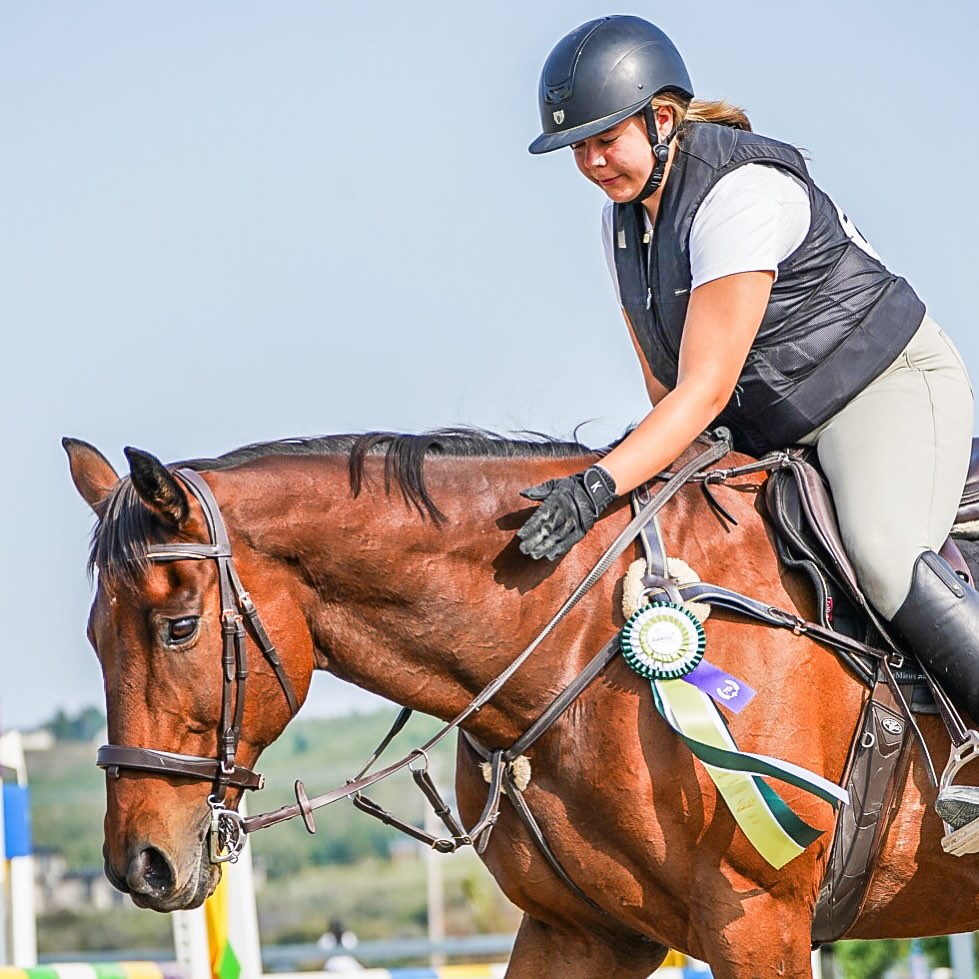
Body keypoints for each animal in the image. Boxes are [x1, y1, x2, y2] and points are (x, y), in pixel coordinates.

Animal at [63, 429, 979, 979]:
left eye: (180, 627)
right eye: (93, 638)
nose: (139, 865)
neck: (582, 636)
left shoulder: (757, 919)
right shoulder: (580, 931)